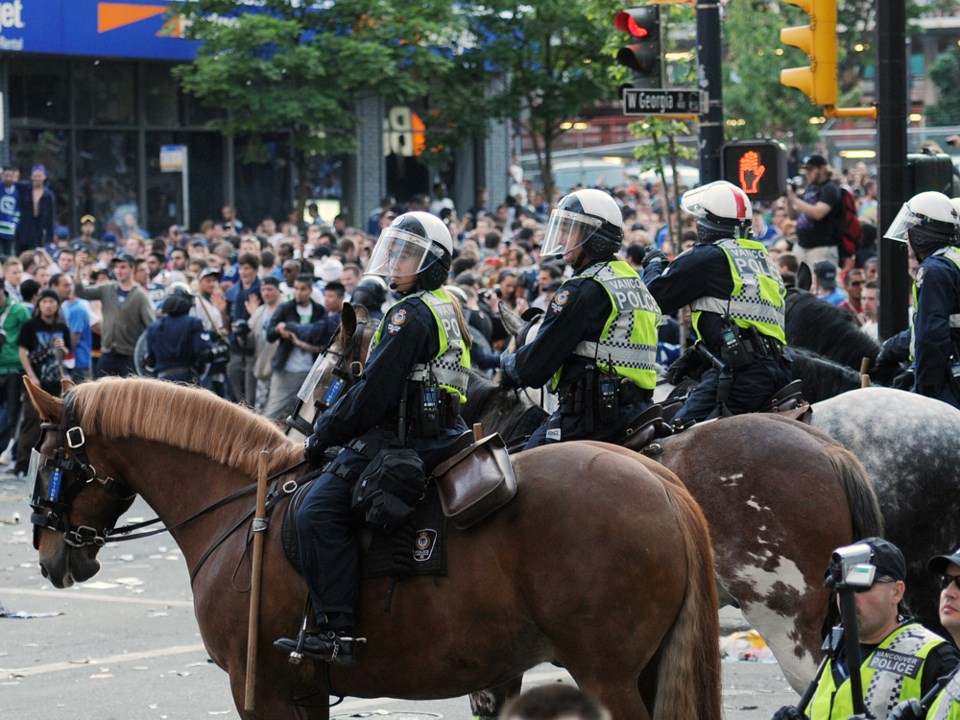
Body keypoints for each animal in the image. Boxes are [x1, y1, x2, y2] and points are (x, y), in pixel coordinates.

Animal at [24, 376, 720, 720]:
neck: (238, 507)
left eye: (50, 456)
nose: (50, 555)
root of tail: (660, 481)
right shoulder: (301, 693)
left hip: (608, 675)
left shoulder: (262, 692)